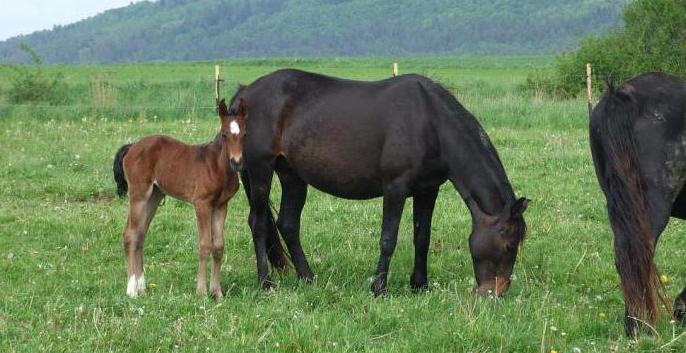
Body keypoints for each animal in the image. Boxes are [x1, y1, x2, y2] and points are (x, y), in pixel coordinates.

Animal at [111, 97, 288, 298]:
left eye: (245, 134)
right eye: (224, 135)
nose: (236, 162)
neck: (216, 167)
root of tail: (132, 146)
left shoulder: (221, 206)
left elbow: (218, 246)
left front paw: (217, 292)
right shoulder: (202, 205)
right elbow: (204, 245)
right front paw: (202, 292)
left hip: (154, 196)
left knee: (140, 234)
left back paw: (141, 287)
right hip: (139, 194)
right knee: (130, 234)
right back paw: (131, 289)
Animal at [238, 69, 532, 294]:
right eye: (508, 245)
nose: (496, 292)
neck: (430, 123)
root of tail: (245, 92)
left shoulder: (428, 190)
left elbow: (422, 237)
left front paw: (420, 285)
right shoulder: (395, 187)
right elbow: (388, 238)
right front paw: (379, 288)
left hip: (292, 175)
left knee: (288, 224)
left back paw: (308, 278)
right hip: (261, 169)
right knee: (259, 223)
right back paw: (265, 283)